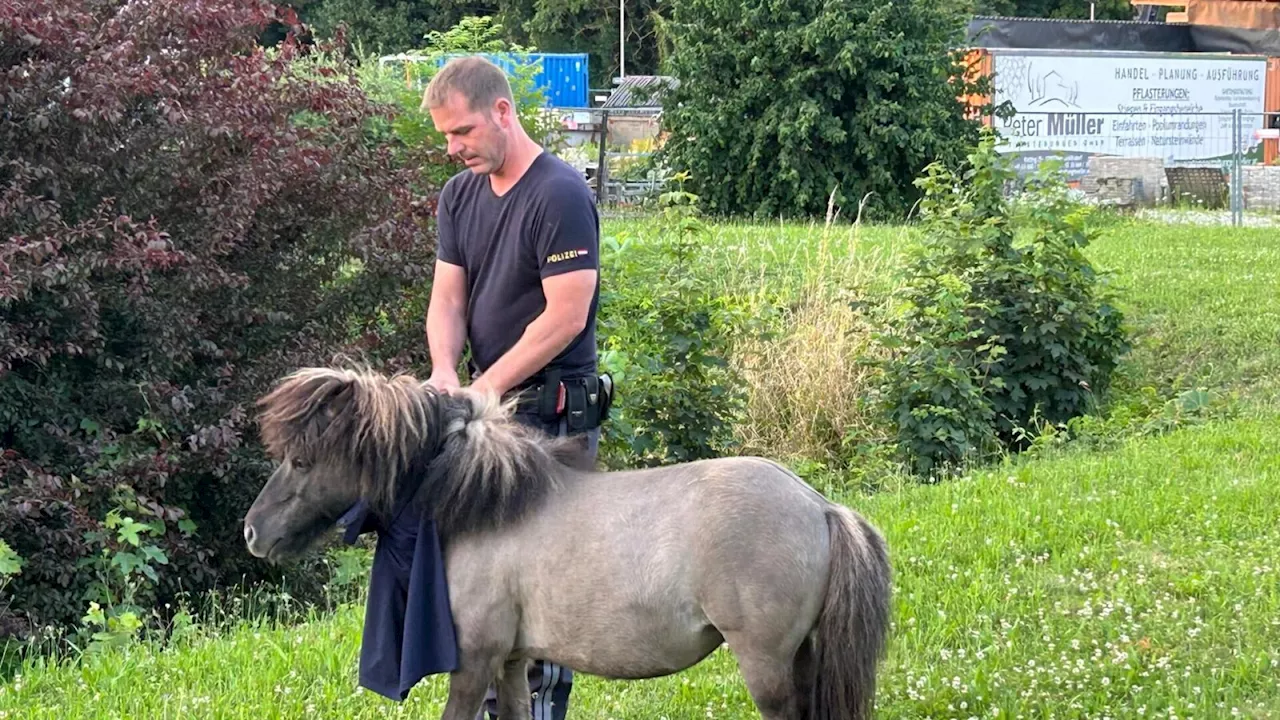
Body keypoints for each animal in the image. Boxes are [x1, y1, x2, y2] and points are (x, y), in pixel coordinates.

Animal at [241, 366, 890, 717]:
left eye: (301, 461)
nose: (252, 532)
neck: (486, 507)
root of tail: (821, 508)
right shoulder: (512, 661)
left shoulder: (473, 661)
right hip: (800, 656)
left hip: (766, 665)